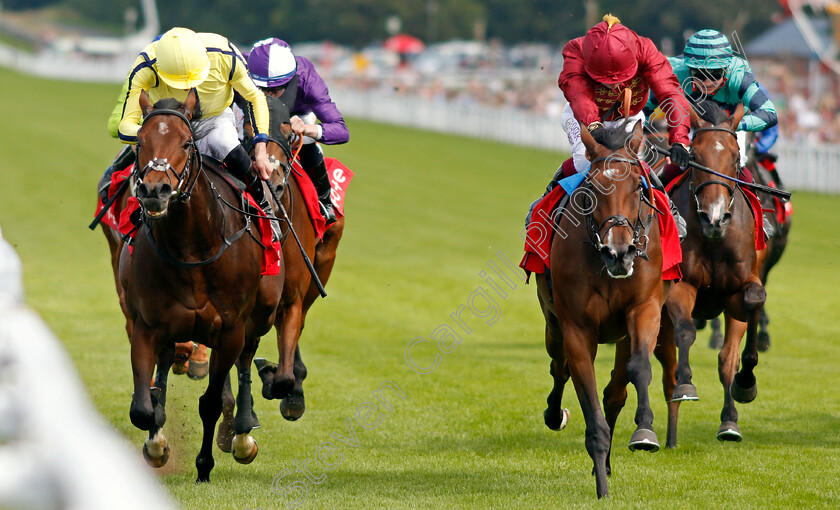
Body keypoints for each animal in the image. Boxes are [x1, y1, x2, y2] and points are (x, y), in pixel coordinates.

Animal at [120, 88, 282, 482]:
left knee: (245, 361)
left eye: (185, 142)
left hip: (259, 316)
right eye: (139, 142)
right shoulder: (147, 325)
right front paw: (157, 447)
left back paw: (242, 434)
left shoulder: (229, 329)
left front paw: (204, 466)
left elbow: (210, 403)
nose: (156, 190)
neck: (193, 249)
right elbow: (144, 407)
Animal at [540, 120, 676, 498]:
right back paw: (554, 415)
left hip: (622, 335)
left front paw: (645, 431)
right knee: (558, 368)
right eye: (593, 188)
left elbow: (639, 368)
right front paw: (601, 485)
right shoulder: (576, 328)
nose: (619, 252)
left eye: (636, 186)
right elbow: (588, 402)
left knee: (615, 391)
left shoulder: (644, 308)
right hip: (552, 322)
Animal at [664, 100, 768, 442]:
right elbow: (685, 331)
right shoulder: (681, 285)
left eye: (736, 157)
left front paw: (745, 385)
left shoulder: (739, 290)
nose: (715, 218)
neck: (714, 240)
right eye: (694, 156)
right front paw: (686, 383)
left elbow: (752, 304)